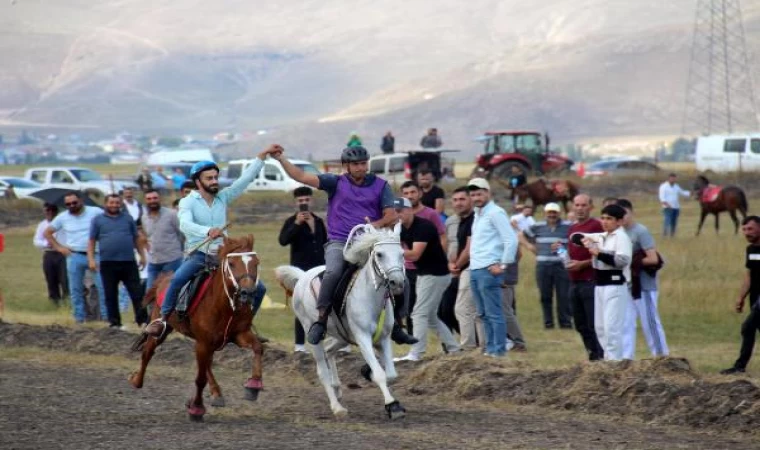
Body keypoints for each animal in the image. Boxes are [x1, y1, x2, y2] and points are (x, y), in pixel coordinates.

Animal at [129, 236, 262, 422]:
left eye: (256, 263)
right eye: (232, 263)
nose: (248, 292)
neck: (224, 306)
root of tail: (164, 279)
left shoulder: (238, 334)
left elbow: (258, 347)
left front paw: (254, 385)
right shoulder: (203, 343)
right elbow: (200, 379)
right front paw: (197, 409)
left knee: (207, 366)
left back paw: (215, 393)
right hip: (162, 330)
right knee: (148, 352)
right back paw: (136, 380)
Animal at [276, 223, 410, 420]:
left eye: (402, 253)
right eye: (379, 254)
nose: (397, 283)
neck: (371, 297)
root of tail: (302, 276)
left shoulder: (384, 338)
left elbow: (391, 374)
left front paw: (368, 374)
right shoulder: (362, 337)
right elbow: (380, 374)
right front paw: (391, 404)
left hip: (341, 336)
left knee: (329, 350)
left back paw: (337, 388)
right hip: (311, 331)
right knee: (322, 370)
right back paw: (337, 407)